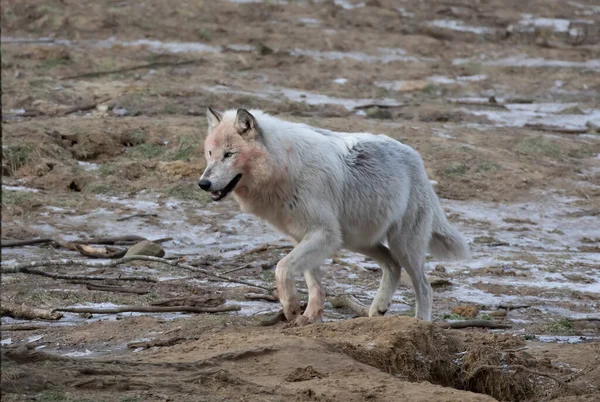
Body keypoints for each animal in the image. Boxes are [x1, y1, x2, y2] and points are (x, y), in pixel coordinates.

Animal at [199, 107, 472, 326]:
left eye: (229, 154)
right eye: (210, 154)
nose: (203, 183)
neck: (284, 166)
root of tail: (416, 158)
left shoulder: (324, 234)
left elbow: (282, 268)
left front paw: (291, 309)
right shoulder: (303, 236)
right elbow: (314, 284)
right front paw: (310, 317)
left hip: (403, 245)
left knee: (424, 286)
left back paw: (421, 322)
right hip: (357, 241)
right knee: (392, 265)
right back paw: (378, 308)